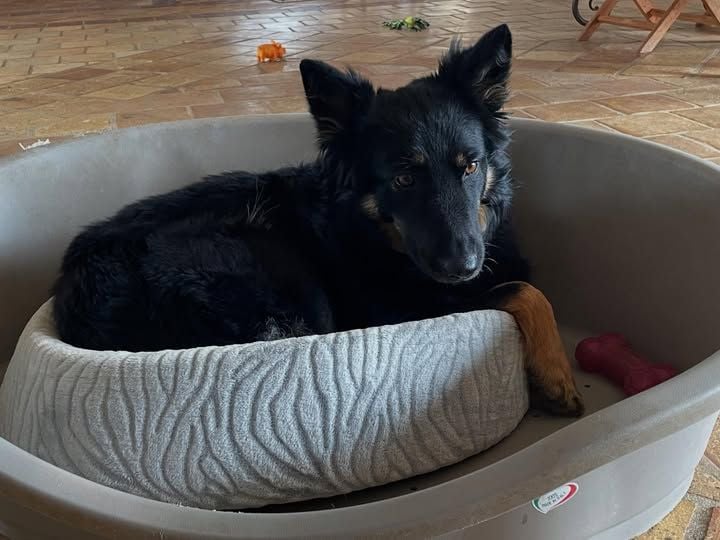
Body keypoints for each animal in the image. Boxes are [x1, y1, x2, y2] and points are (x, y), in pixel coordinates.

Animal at [52, 24, 583, 416]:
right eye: (404, 179)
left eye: (470, 166)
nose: (464, 266)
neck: (374, 234)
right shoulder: (405, 309)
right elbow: (523, 292)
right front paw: (557, 375)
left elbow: (523, 285)